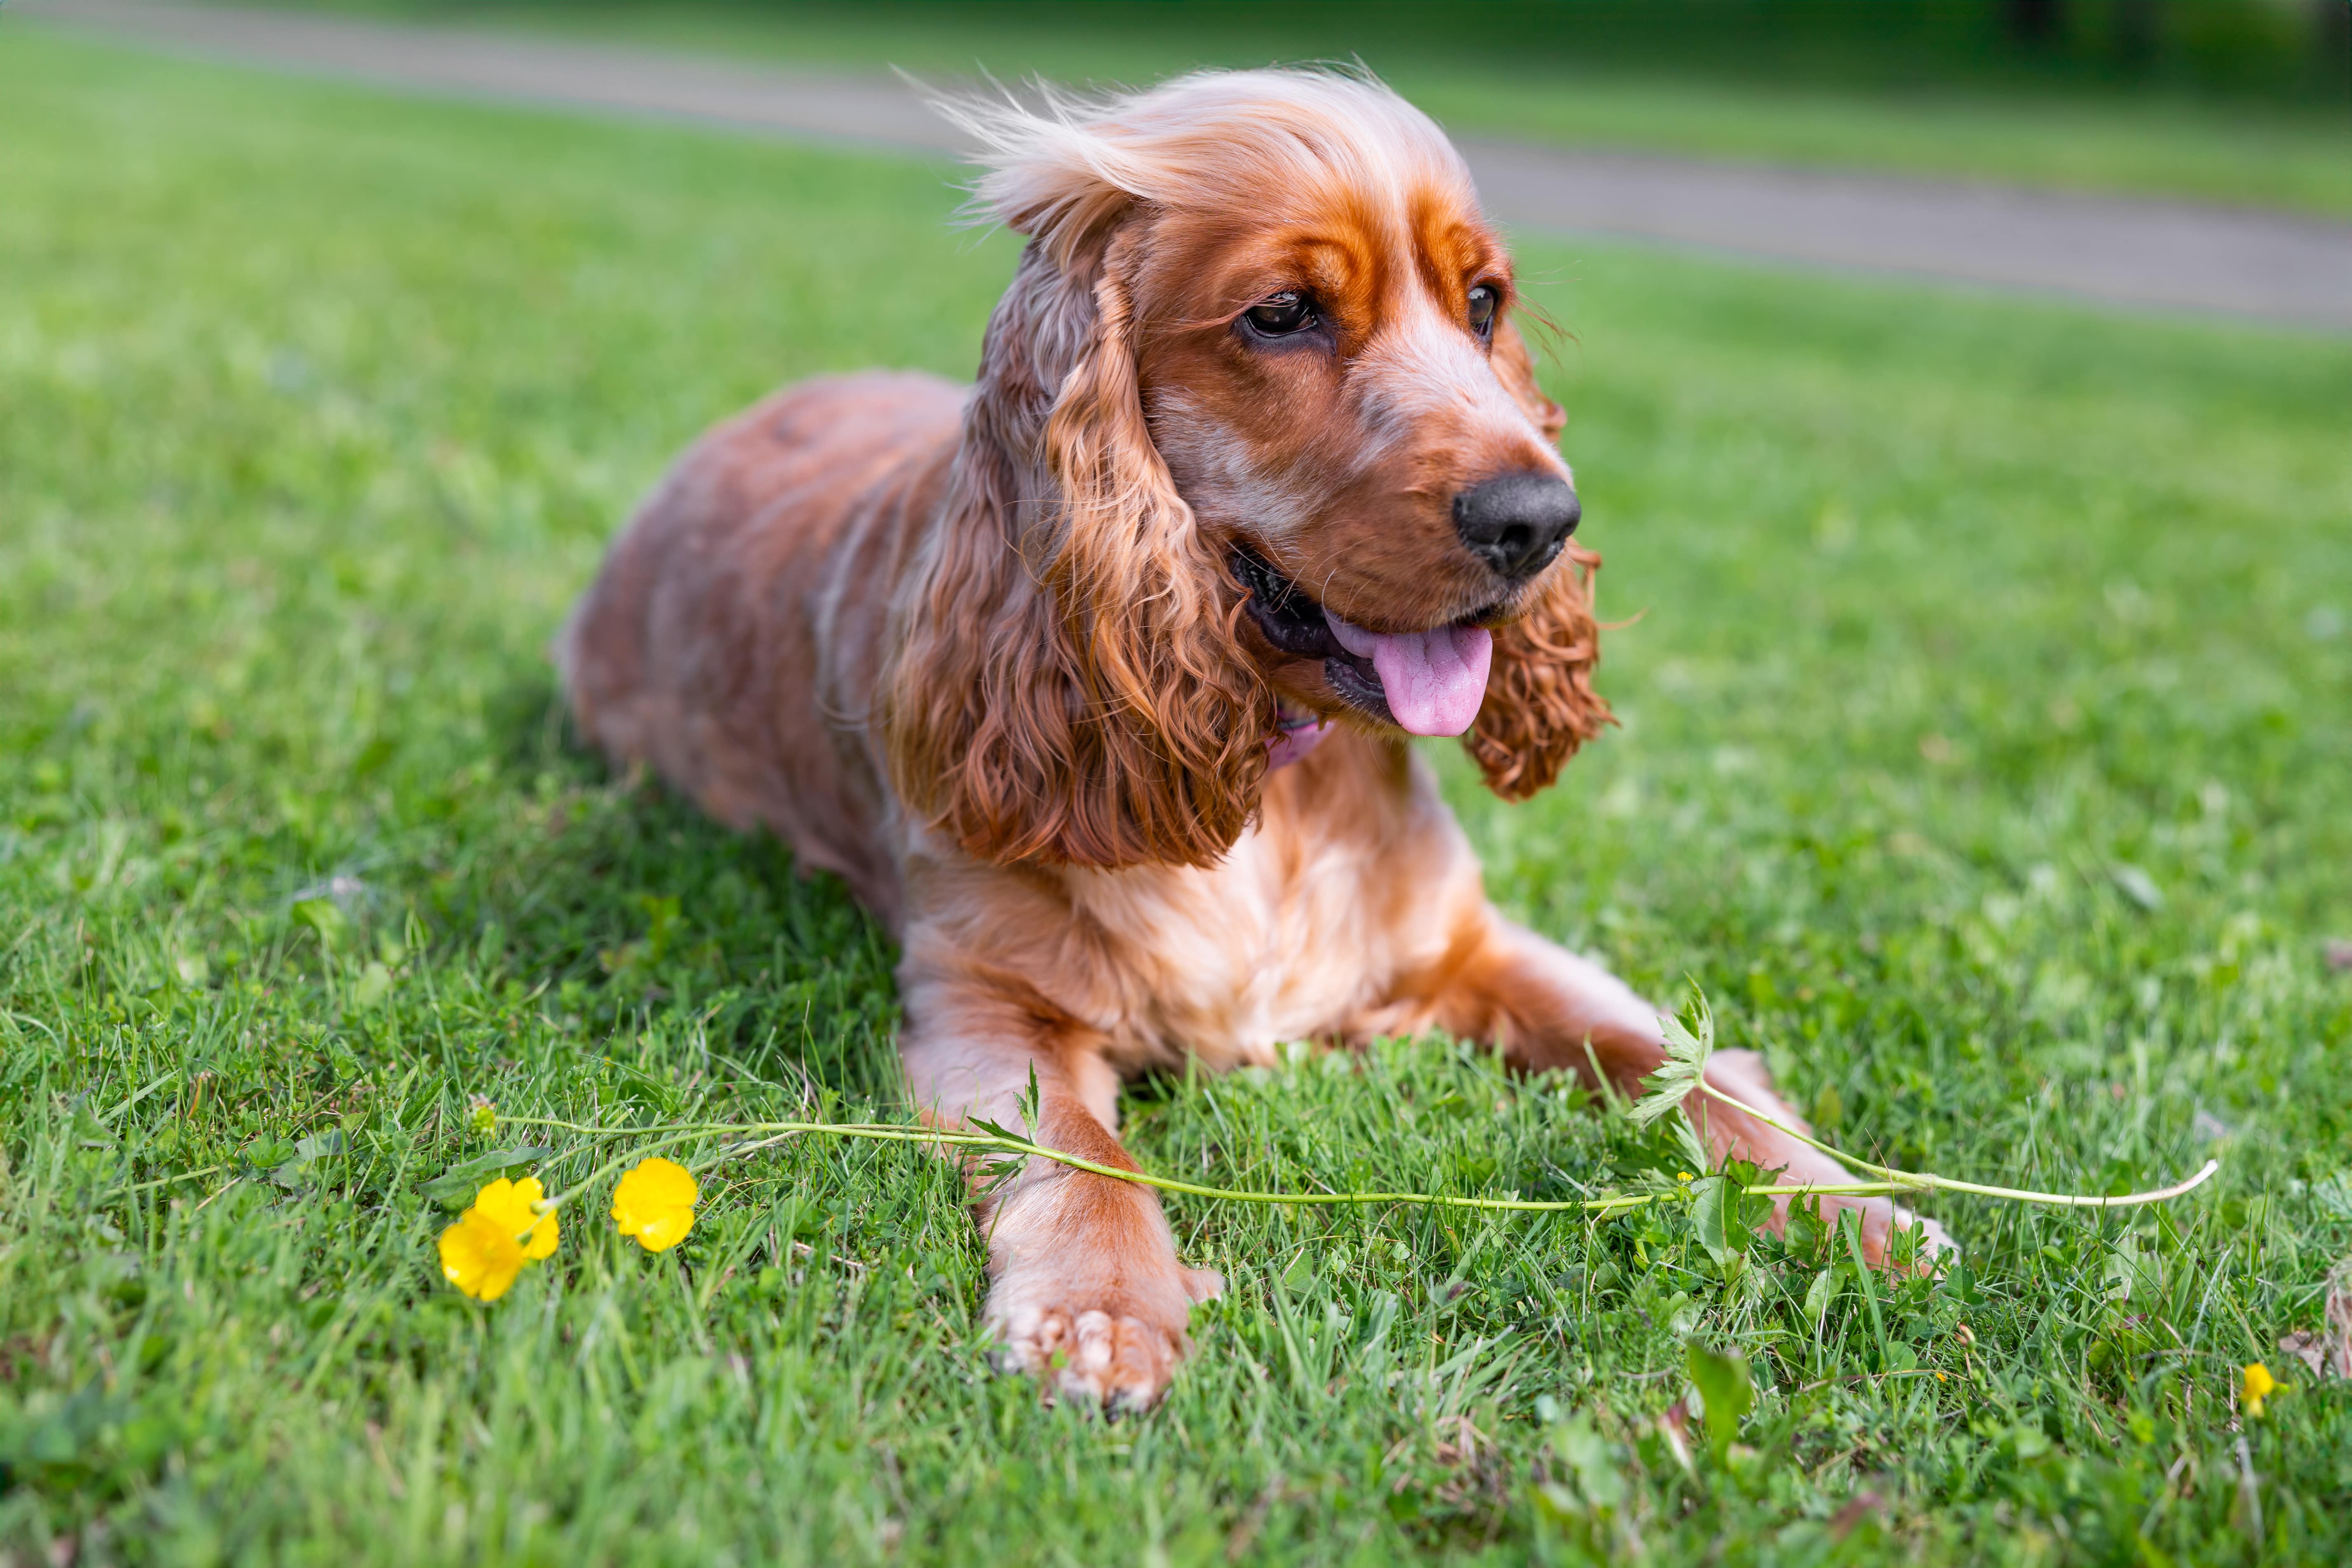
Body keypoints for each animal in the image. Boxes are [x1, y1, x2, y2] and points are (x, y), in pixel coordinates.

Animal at [555, 68, 1947, 1410]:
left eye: (1482, 302)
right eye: (1281, 313)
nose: (1541, 518)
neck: (1278, 780)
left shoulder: (1475, 943)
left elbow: (1681, 1062)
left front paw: (1857, 1211)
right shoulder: (985, 996)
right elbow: (1085, 1150)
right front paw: (1102, 1313)